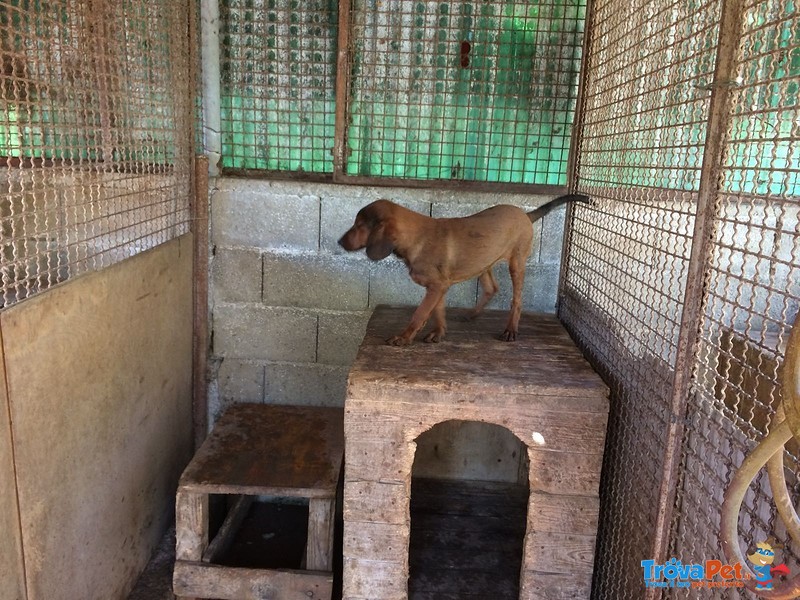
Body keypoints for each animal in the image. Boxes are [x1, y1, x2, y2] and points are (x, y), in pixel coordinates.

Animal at [338, 195, 588, 344]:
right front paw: (439, 332)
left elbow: (420, 313)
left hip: (516, 263)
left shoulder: (437, 286)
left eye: (359, 226)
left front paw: (404, 337)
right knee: (492, 288)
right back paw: (472, 314)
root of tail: (525, 214)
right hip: (484, 262)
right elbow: (437, 311)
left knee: (516, 300)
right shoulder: (439, 286)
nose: (339, 242)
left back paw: (510, 329)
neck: (415, 238)